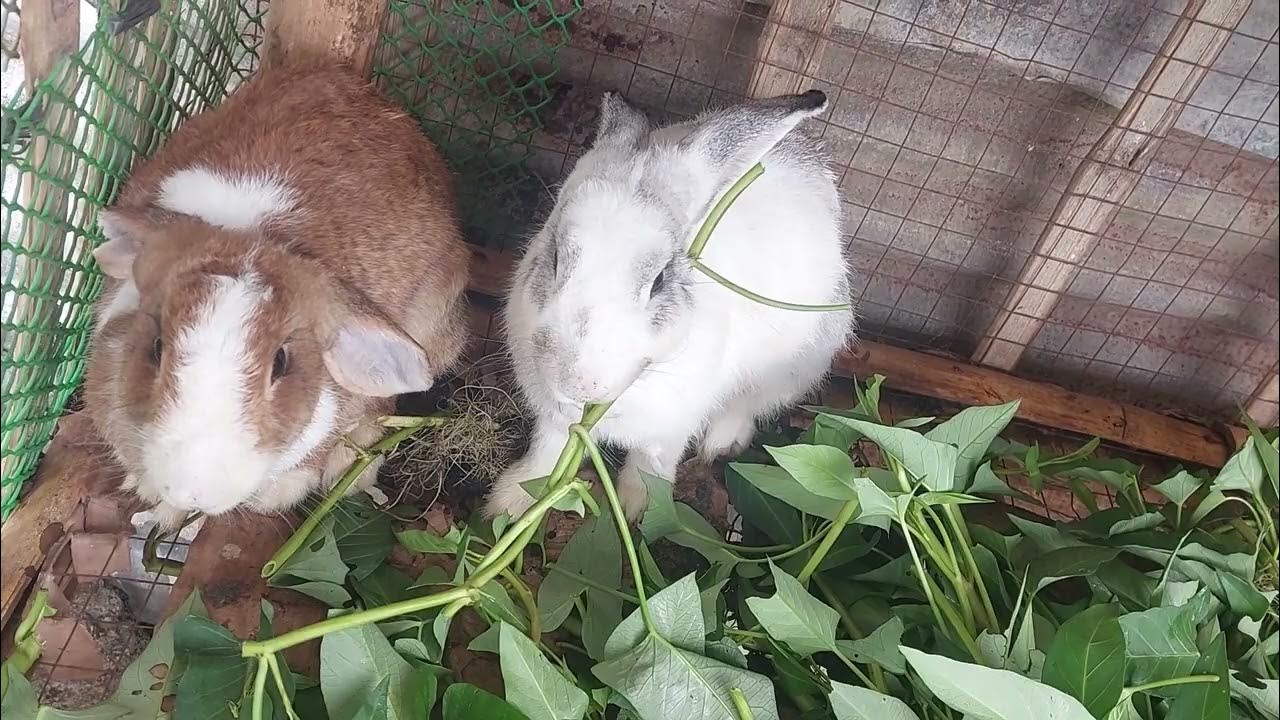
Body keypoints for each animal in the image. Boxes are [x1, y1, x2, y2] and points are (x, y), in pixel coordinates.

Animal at [489, 90, 855, 520]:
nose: (578, 386)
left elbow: (652, 466)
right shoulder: (554, 420)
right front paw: (510, 502)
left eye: (660, 279)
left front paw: (641, 510)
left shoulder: (672, 427)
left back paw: (721, 443)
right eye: (556, 257)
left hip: (798, 364)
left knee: (748, 403)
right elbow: (548, 452)